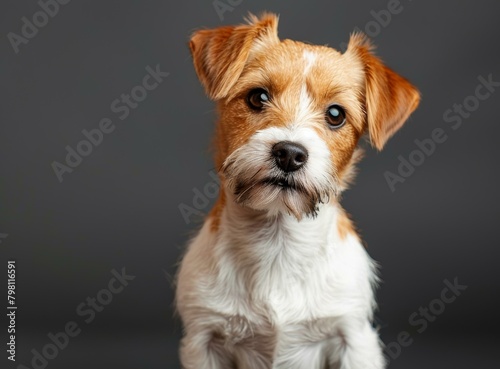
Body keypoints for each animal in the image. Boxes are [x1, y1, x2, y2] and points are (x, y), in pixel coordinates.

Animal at [178, 12, 420, 368]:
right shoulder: (203, 338)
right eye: (258, 97)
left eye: (335, 114)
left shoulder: (354, 338)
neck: (278, 241)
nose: (289, 154)